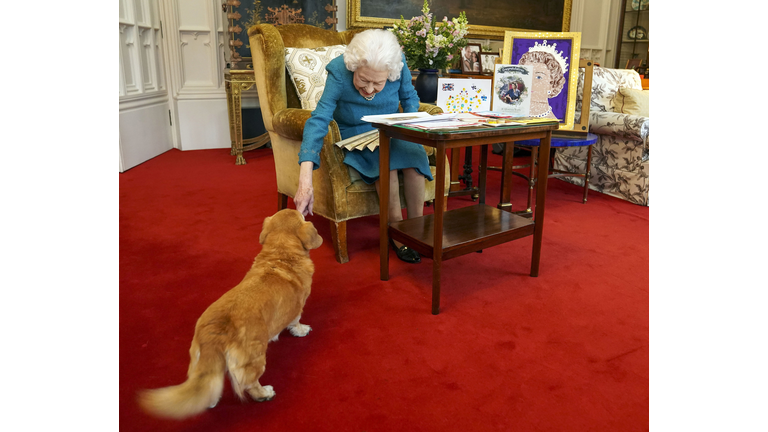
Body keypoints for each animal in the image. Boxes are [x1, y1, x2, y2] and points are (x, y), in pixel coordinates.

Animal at [140, 209, 322, 418]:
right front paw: (301, 330)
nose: (302, 208)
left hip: (202, 362)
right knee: (250, 384)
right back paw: (265, 393)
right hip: (255, 359)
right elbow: (296, 321)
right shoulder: (298, 307)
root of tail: (215, 332)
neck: (280, 255)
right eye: (300, 216)